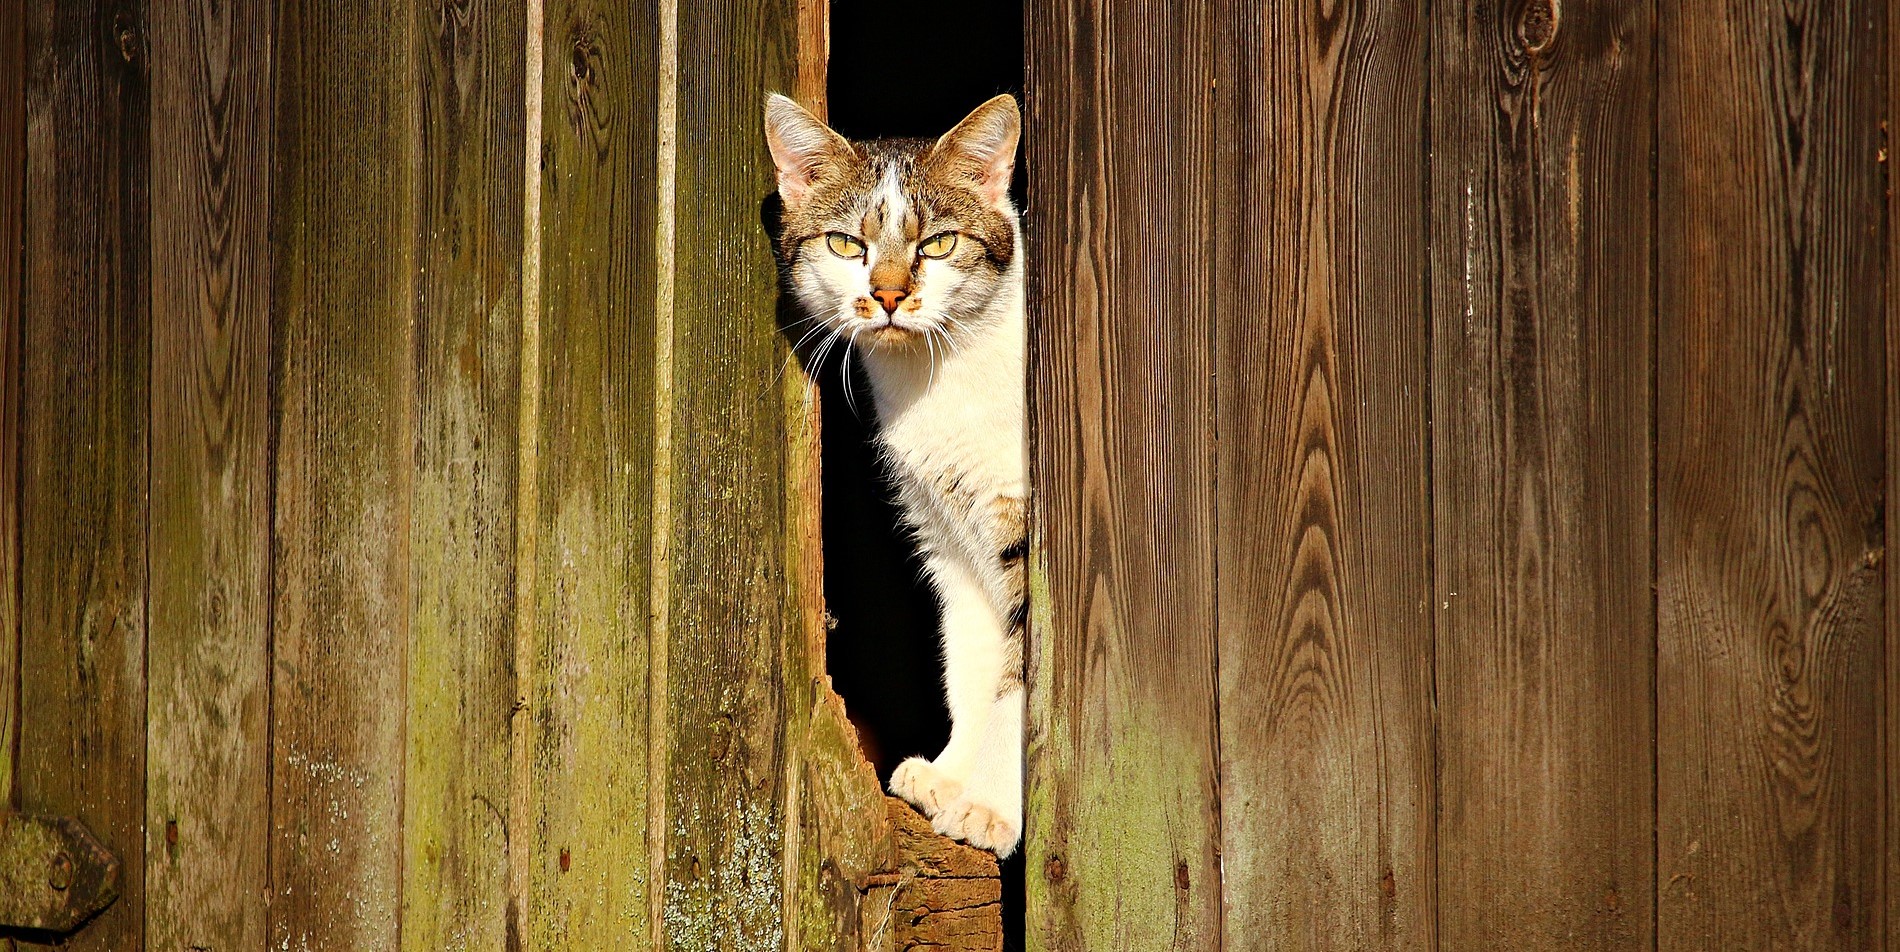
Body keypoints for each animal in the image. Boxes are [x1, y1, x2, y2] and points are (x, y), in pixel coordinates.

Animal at [760, 94, 1026, 855]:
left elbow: (1018, 678)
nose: (887, 294)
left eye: (936, 244)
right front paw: (952, 776)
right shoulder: (949, 538)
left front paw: (989, 806)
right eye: (847, 244)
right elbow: (972, 660)